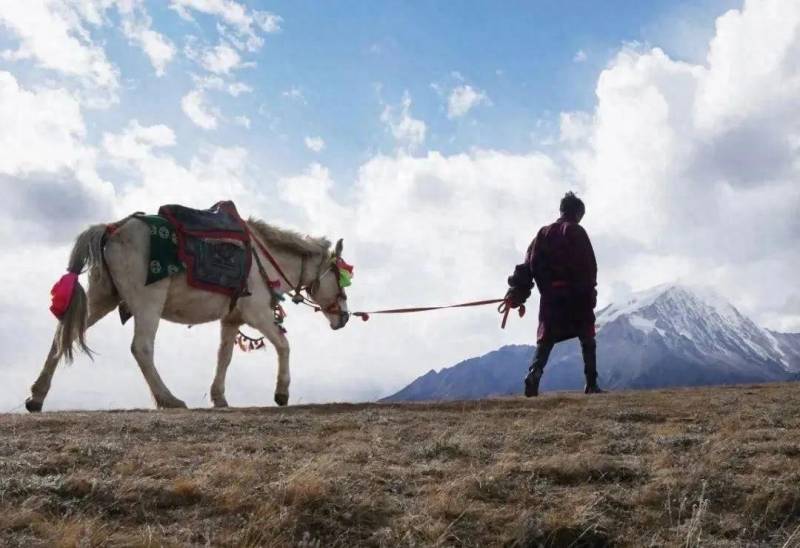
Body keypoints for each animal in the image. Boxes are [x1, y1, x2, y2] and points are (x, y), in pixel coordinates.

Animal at [25, 214, 348, 412]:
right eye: (341, 276)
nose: (344, 317)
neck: (264, 259)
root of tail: (112, 229)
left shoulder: (231, 319)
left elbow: (224, 358)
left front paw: (219, 397)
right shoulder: (258, 313)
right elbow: (283, 345)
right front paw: (281, 393)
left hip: (102, 298)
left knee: (62, 335)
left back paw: (36, 397)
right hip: (147, 303)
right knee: (141, 348)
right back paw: (168, 399)